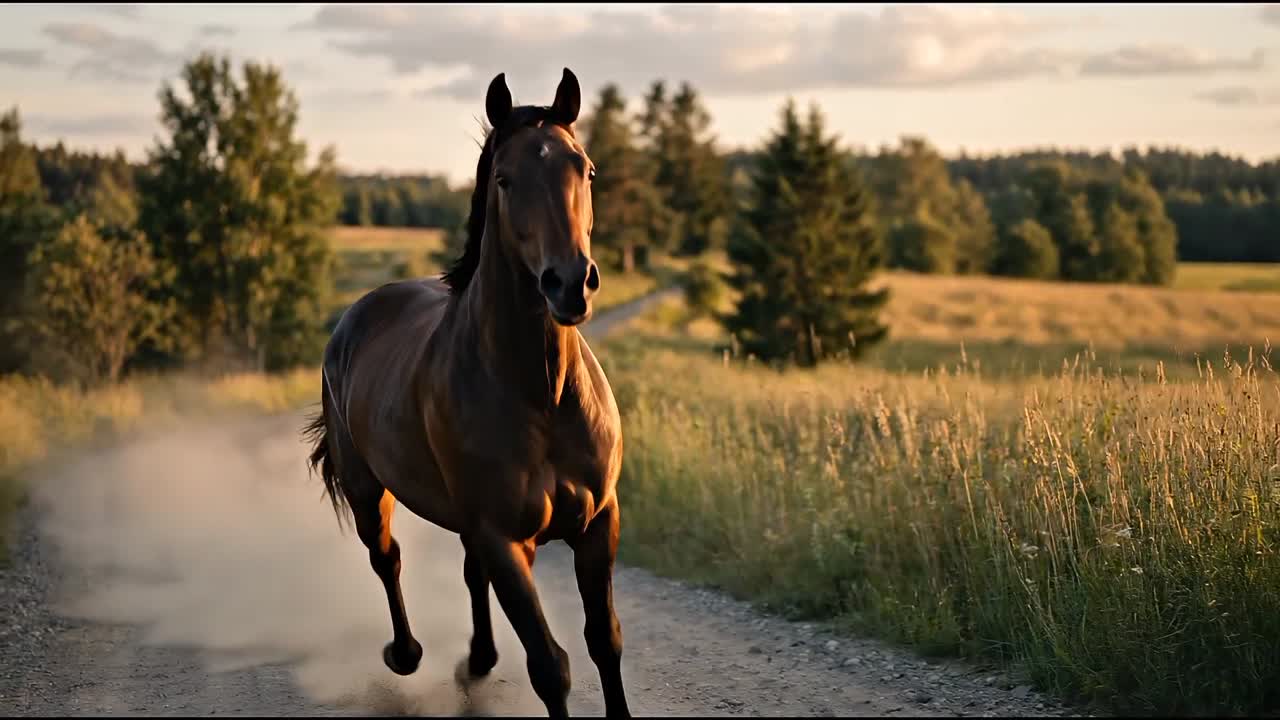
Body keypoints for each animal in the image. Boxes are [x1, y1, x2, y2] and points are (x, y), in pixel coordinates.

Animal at [302, 68, 630, 718]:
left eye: (585, 169)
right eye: (505, 178)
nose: (569, 283)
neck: (542, 394)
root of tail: (357, 314)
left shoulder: (597, 523)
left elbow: (604, 641)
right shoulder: (506, 539)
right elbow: (550, 666)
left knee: (467, 573)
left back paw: (478, 659)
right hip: (368, 490)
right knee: (387, 558)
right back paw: (405, 654)